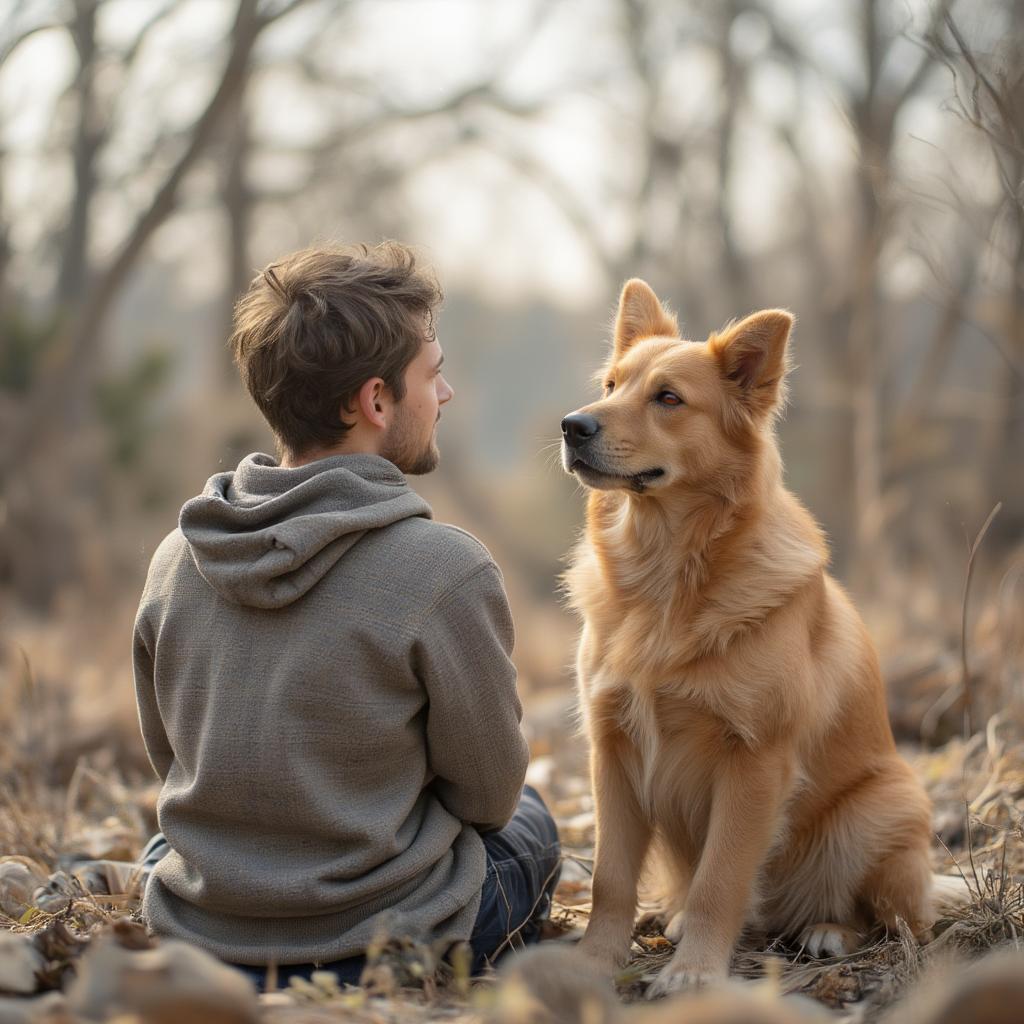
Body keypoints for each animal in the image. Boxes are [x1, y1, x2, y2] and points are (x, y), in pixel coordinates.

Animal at [565, 280, 937, 999]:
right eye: (610, 384)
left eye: (668, 398)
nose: (572, 426)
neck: (669, 577)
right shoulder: (611, 748)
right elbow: (610, 878)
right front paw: (594, 963)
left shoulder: (754, 761)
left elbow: (721, 878)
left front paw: (694, 974)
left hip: (880, 809)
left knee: (889, 918)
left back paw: (829, 931)